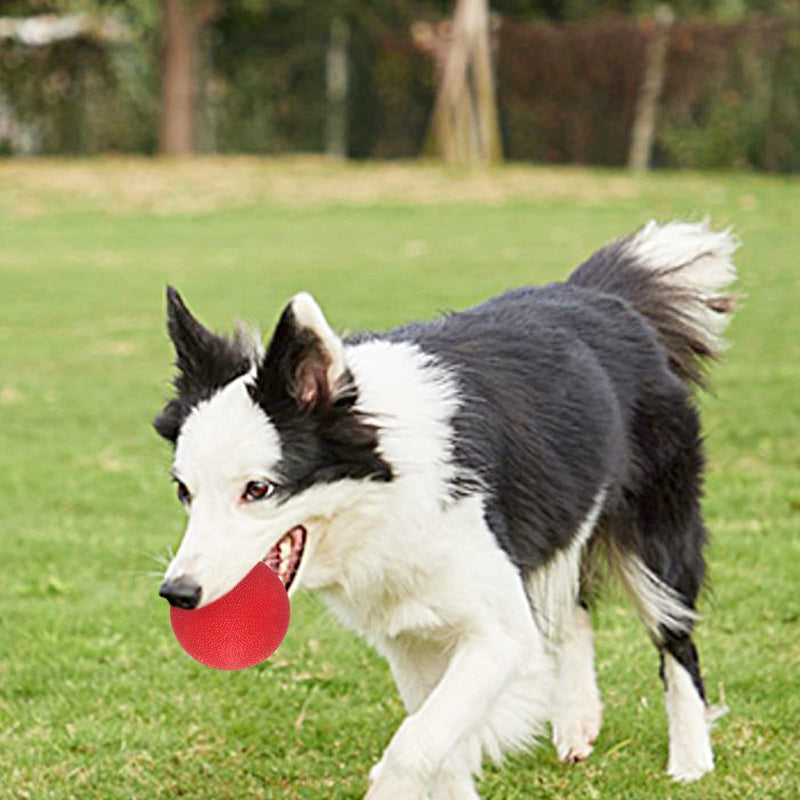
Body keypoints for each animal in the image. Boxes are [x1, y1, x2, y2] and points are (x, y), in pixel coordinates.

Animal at [155, 220, 736, 800]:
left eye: (257, 489)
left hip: (656, 535)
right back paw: (578, 722)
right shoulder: (411, 632)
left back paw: (690, 759)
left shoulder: (498, 633)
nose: (178, 594)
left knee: (674, 639)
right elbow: (441, 742)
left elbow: (418, 742)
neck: (383, 496)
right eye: (184, 490)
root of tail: (601, 297)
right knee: (572, 606)